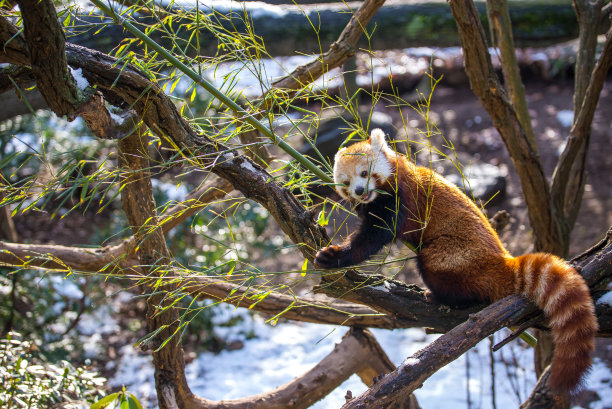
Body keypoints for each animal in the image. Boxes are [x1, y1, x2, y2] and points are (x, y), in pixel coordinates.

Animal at [316, 126, 596, 392]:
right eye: (345, 181)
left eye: (365, 173)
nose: (359, 191)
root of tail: (502, 261)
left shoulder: (400, 197)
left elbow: (374, 237)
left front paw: (335, 255)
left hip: (450, 254)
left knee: (438, 269)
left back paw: (443, 297)